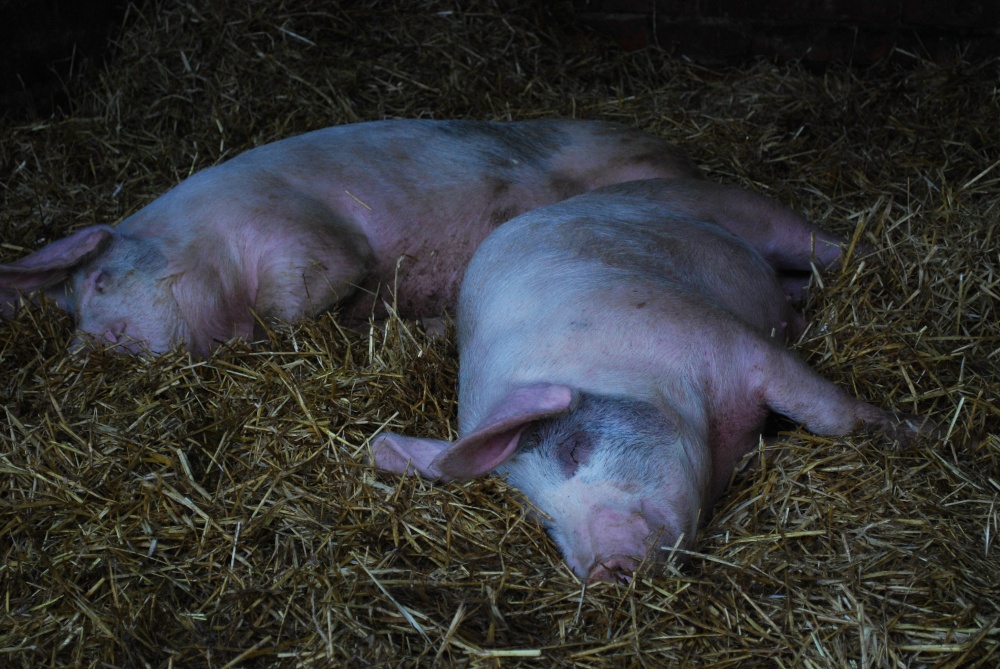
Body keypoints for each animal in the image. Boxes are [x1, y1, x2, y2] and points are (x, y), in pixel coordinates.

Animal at [371, 178, 935, 582]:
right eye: (536, 511)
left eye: (574, 449)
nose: (603, 569)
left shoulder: (731, 342)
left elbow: (830, 415)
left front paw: (918, 433)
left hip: (752, 213)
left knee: (832, 247)